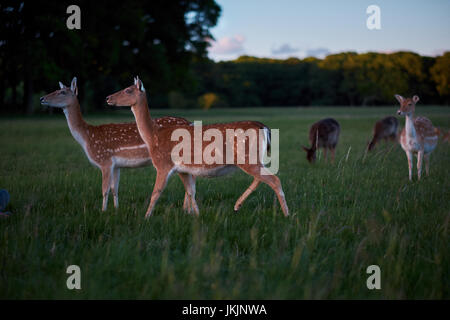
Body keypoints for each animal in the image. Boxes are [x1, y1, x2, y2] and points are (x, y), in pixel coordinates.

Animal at [41, 77, 195, 212]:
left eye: (62, 92)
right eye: (57, 89)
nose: (42, 98)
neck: (87, 137)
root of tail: (189, 122)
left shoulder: (105, 160)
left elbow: (104, 189)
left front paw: (103, 212)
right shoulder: (116, 165)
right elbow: (114, 189)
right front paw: (116, 210)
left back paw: (186, 210)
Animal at [105, 76, 288, 219]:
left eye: (128, 90)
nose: (107, 98)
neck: (154, 136)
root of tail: (263, 126)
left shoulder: (163, 164)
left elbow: (156, 192)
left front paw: (146, 218)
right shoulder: (184, 169)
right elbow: (191, 191)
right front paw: (197, 216)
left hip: (247, 157)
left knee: (274, 180)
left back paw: (286, 215)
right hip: (253, 158)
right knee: (262, 179)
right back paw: (237, 206)